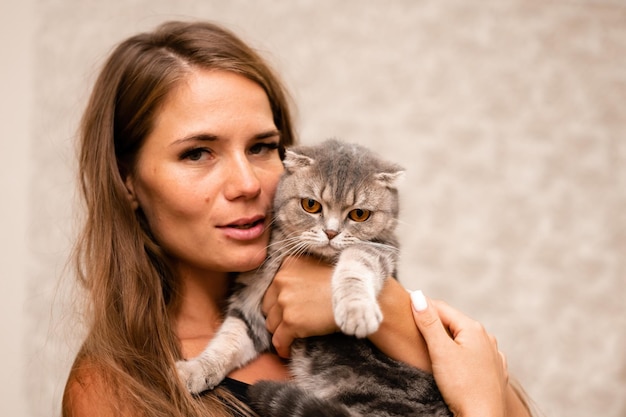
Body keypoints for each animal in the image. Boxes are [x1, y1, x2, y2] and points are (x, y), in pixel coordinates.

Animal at [176, 140, 448, 416]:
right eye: (311, 205)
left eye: (359, 214)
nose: (331, 232)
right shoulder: (251, 303)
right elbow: (227, 341)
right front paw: (195, 370)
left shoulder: (381, 249)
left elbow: (354, 265)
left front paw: (356, 311)